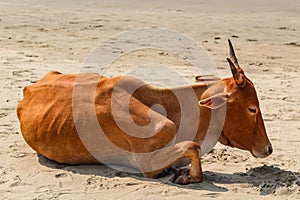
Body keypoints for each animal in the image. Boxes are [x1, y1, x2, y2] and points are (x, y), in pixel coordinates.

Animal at [17, 40, 274, 184]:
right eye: (252, 108)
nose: (268, 148)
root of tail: (28, 89)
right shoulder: (146, 164)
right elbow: (192, 147)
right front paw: (184, 175)